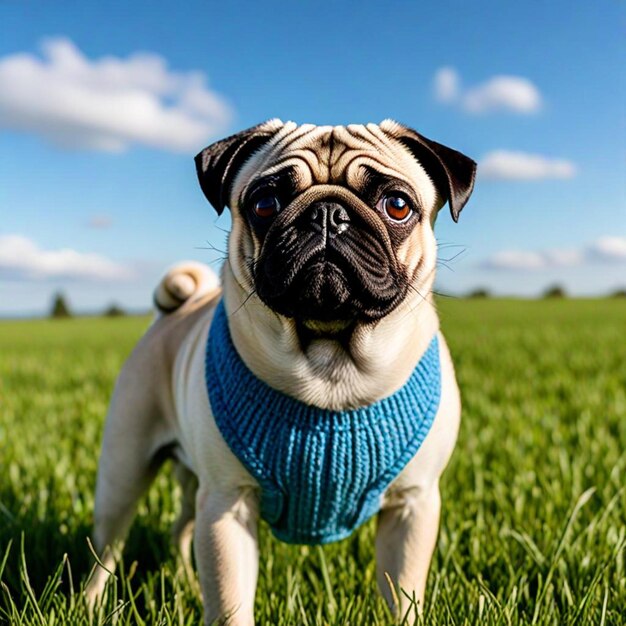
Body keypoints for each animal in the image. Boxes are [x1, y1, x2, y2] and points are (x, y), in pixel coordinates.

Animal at [86, 119, 472, 620]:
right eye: (264, 203)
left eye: (398, 205)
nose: (328, 214)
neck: (331, 369)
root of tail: (176, 309)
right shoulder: (228, 503)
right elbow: (229, 602)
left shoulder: (413, 505)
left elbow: (401, 594)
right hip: (124, 473)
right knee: (107, 548)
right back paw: (90, 605)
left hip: (191, 484)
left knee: (180, 529)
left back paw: (187, 586)